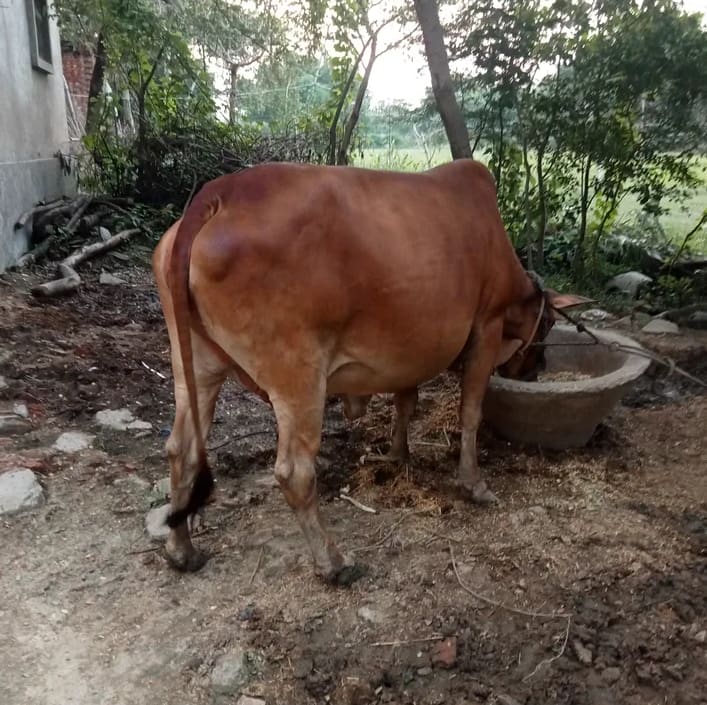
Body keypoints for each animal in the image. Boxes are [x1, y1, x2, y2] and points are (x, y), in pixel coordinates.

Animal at [152, 159, 585, 583]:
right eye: (547, 325)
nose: (536, 370)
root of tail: (221, 192)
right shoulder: (487, 325)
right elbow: (470, 412)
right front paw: (474, 484)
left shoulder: (411, 349)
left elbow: (406, 402)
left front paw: (396, 455)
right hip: (298, 374)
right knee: (294, 471)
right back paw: (334, 563)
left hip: (195, 365)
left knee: (181, 449)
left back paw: (181, 550)